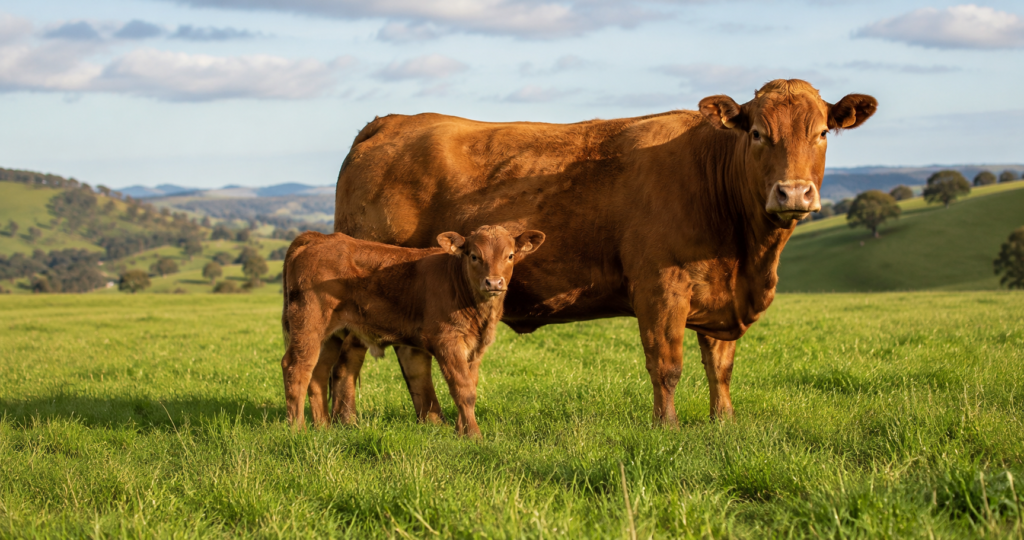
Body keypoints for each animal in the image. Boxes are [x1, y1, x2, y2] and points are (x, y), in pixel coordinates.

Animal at [280, 225, 545, 436]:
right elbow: (463, 389)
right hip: (309, 322)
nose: (494, 282)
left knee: (318, 372)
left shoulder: (477, 346)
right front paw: (473, 435)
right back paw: (298, 430)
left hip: (330, 334)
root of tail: (318, 238)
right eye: (473, 256)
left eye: (510, 255)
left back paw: (323, 428)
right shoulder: (447, 341)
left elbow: (471, 383)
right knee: (296, 367)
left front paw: (461, 431)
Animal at [330, 79, 877, 426]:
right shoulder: (660, 287)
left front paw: (724, 424)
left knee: (404, 355)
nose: (794, 193)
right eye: (758, 133)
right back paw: (348, 421)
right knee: (352, 353)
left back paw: (428, 423)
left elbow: (719, 367)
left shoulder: (721, 293)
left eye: (822, 133)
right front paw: (667, 428)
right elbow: (666, 364)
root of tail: (389, 122)